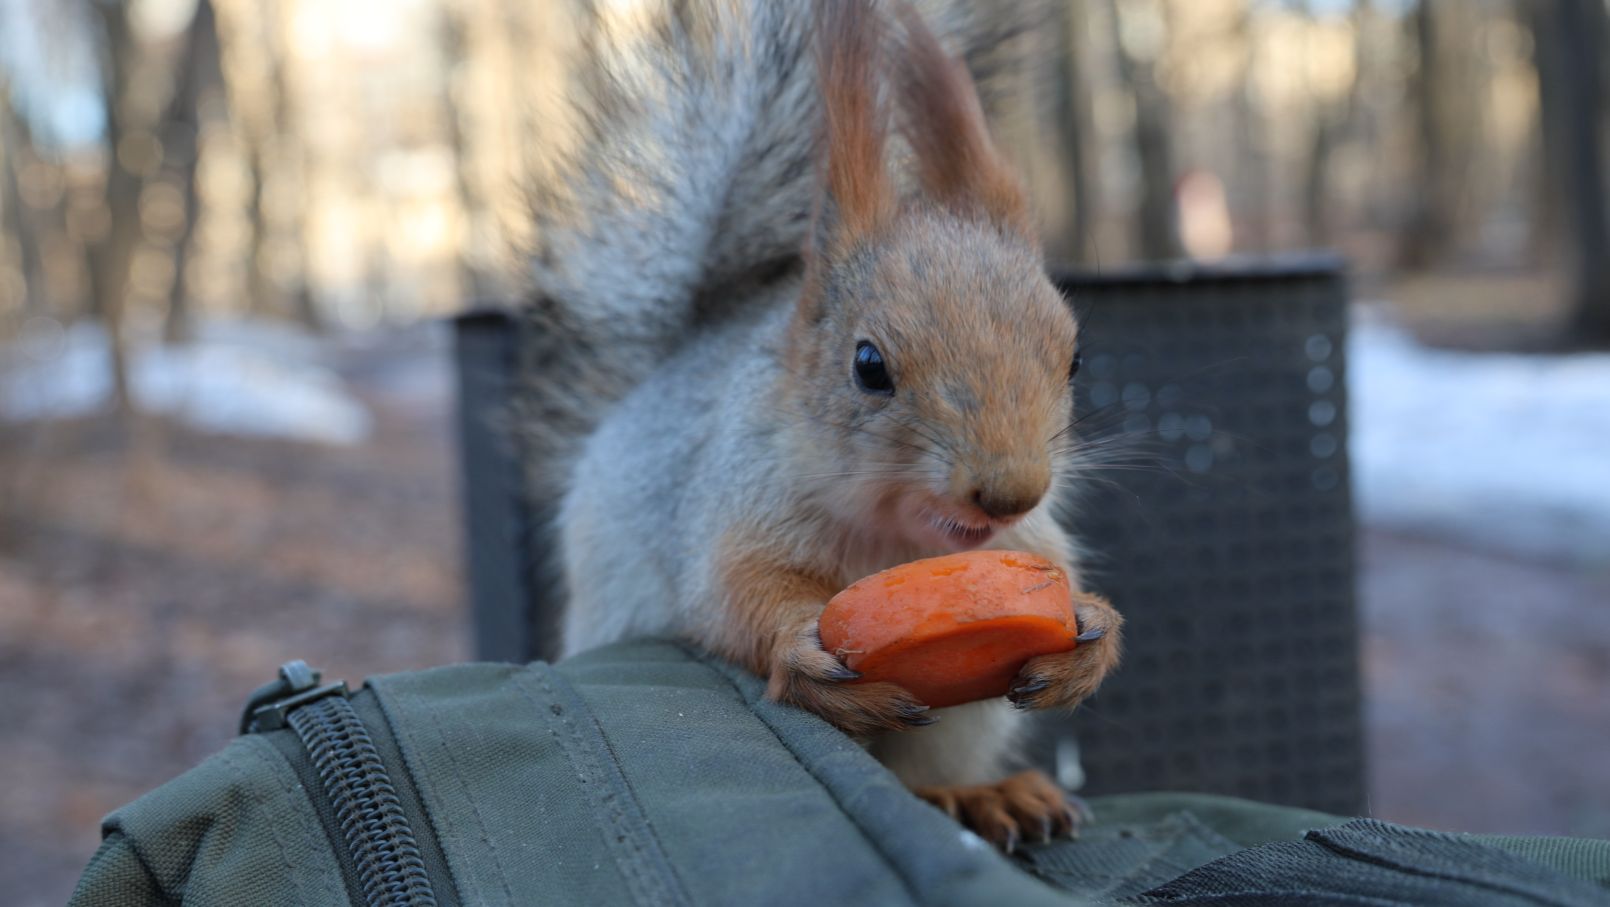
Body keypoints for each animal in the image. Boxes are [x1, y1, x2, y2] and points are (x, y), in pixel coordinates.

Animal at [520, 0, 1123, 851]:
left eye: (1074, 358)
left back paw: (983, 794)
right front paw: (798, 647)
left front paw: (1094, 630)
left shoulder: (1026, 542)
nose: (1010, 493)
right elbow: (732, 592)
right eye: (868, 365)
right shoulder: (740, 502)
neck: (896, 536)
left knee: (926, 775)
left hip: (960, 726)